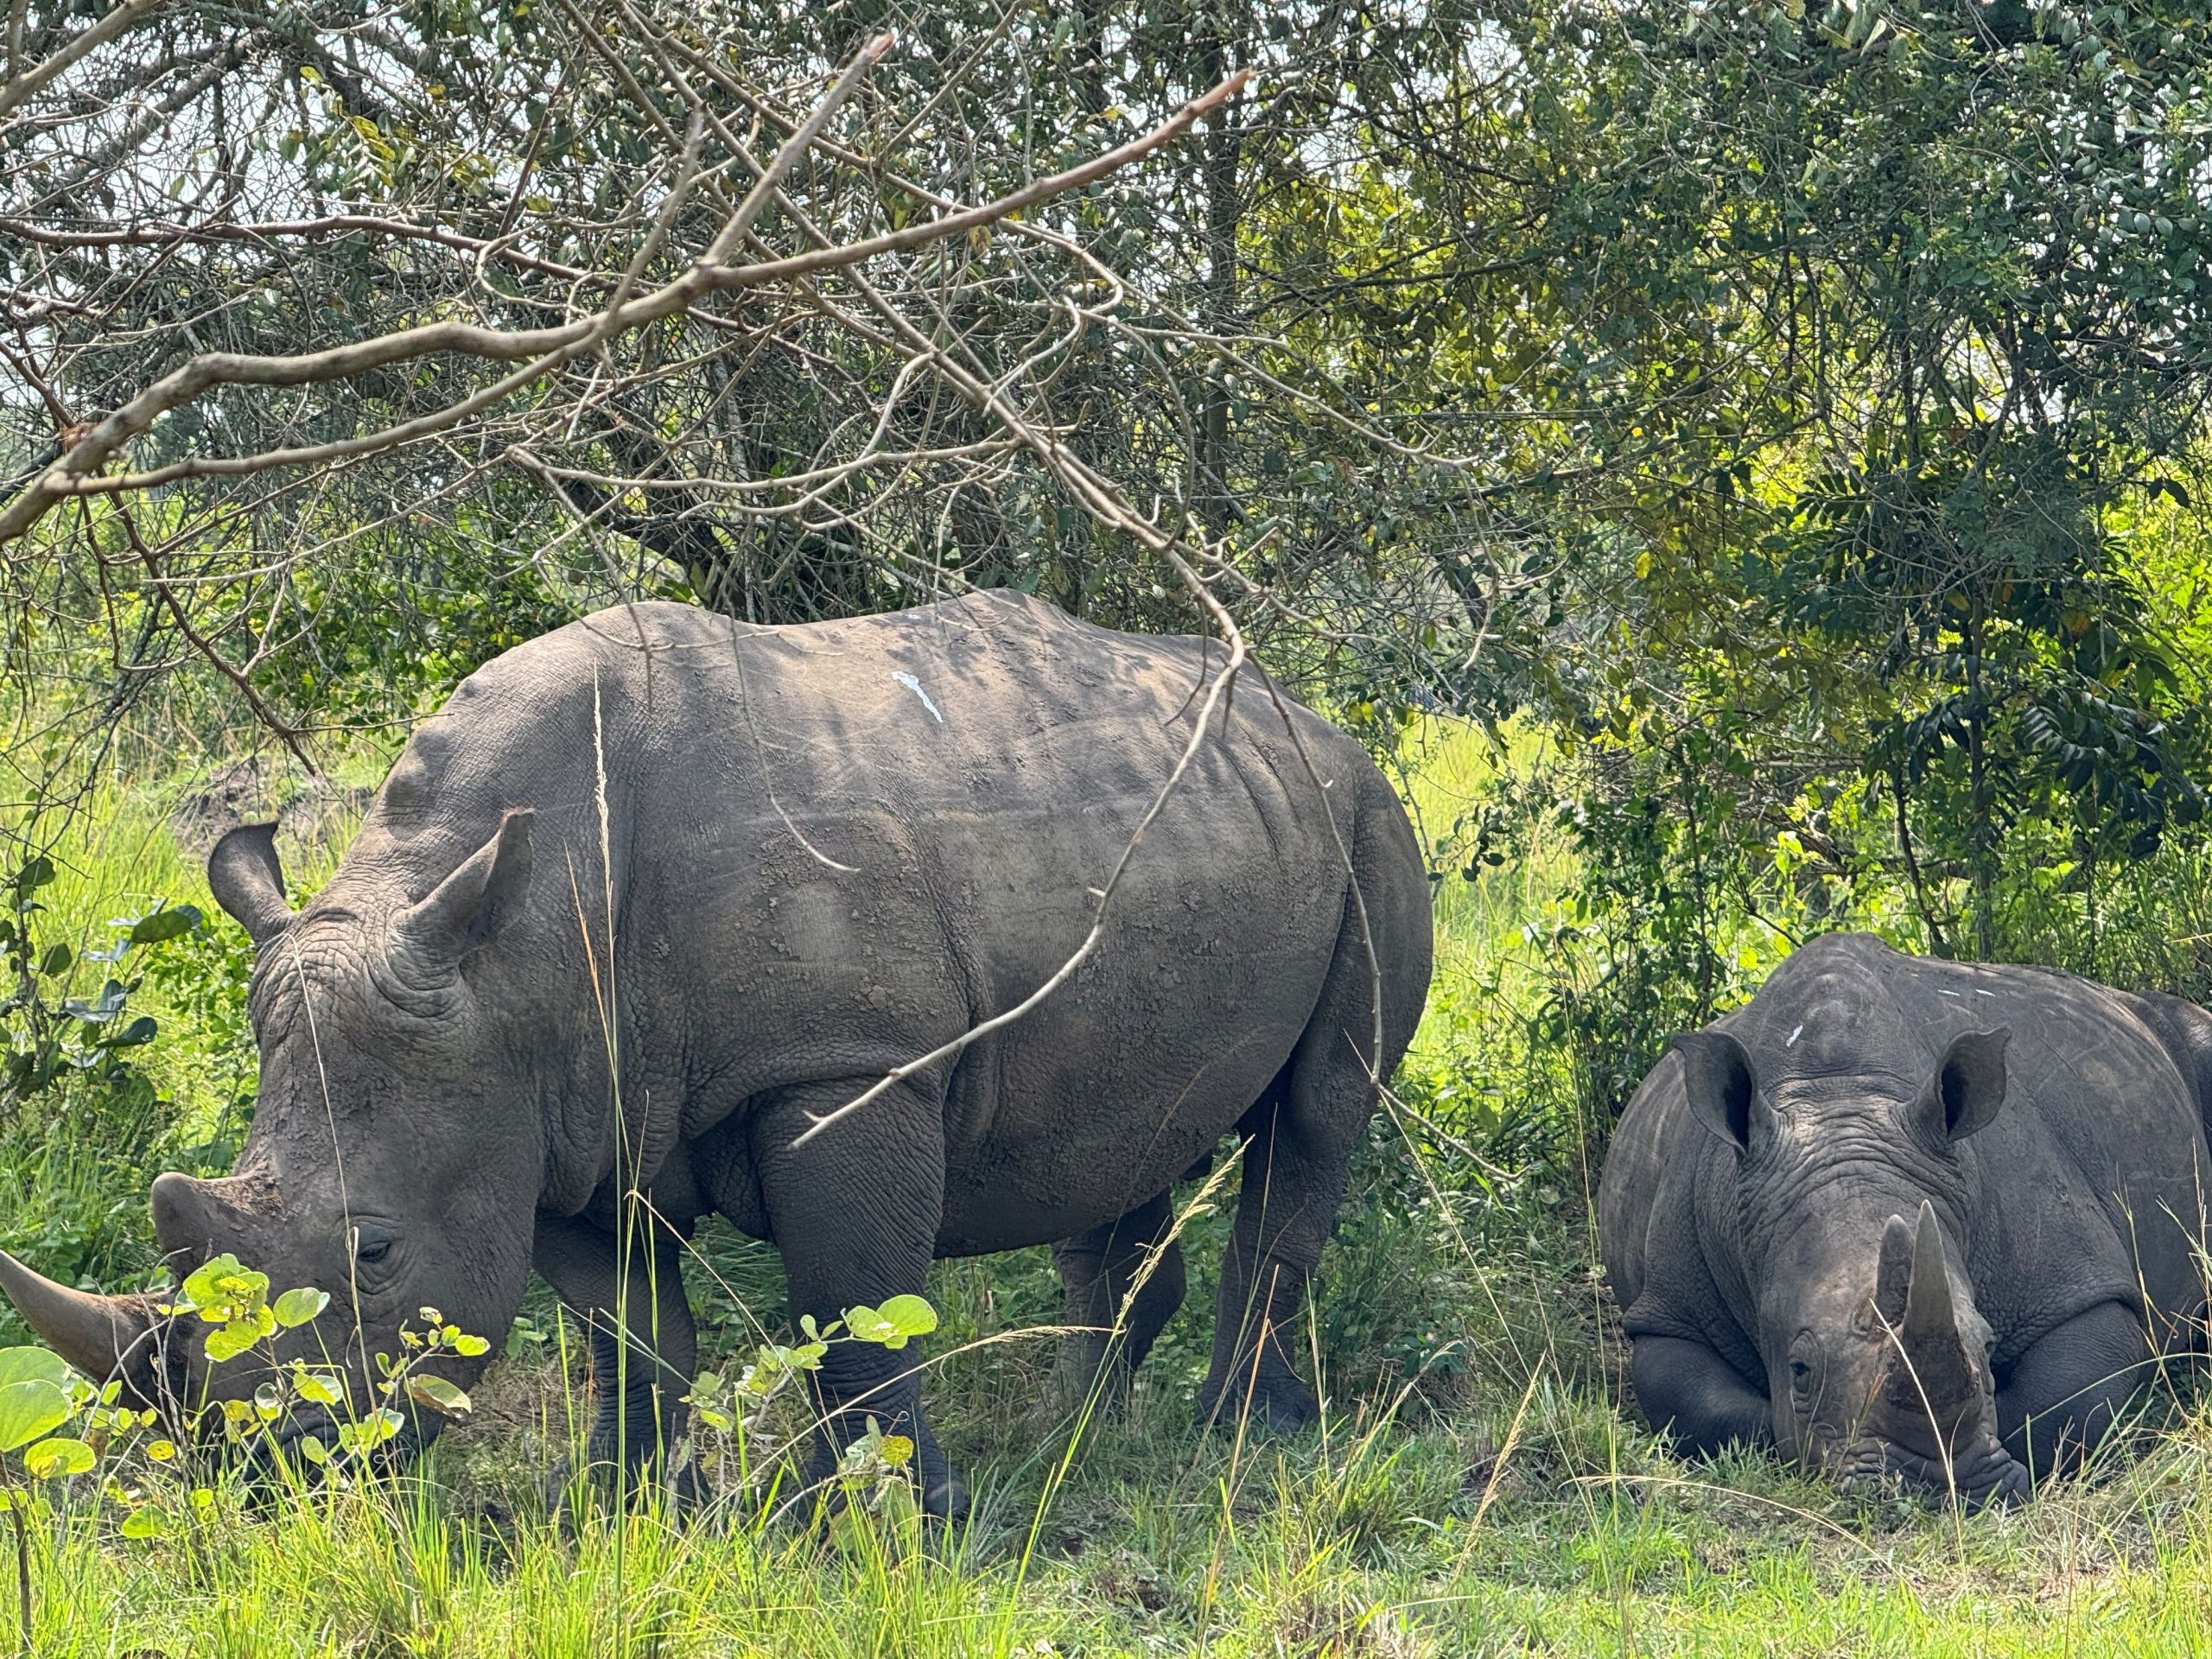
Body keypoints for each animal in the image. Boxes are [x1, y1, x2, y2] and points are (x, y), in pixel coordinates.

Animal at [0, 594, 1431, 1516]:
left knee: (1317, 1121)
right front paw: (627, 1507)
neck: (515, 939)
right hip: (1198, 833)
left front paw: (903, 1519)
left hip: (1370, 823)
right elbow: (627, 1330)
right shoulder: (550, 1113)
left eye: (373, 1254)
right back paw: (1079, 1430)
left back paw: (1237, 1441)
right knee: (1118, 1135)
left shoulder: (842, 1066)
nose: (254, 1475)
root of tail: (1308, 714)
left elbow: (853, 1302)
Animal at [1600, 932, 2212, 1506]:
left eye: (1988, 1343)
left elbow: (2065, 1400)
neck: (1837, 1100)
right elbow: (1708, 1411)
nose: (1936, 1488)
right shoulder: (1672, 1310)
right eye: (1799, 1369)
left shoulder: (2076, 1284)